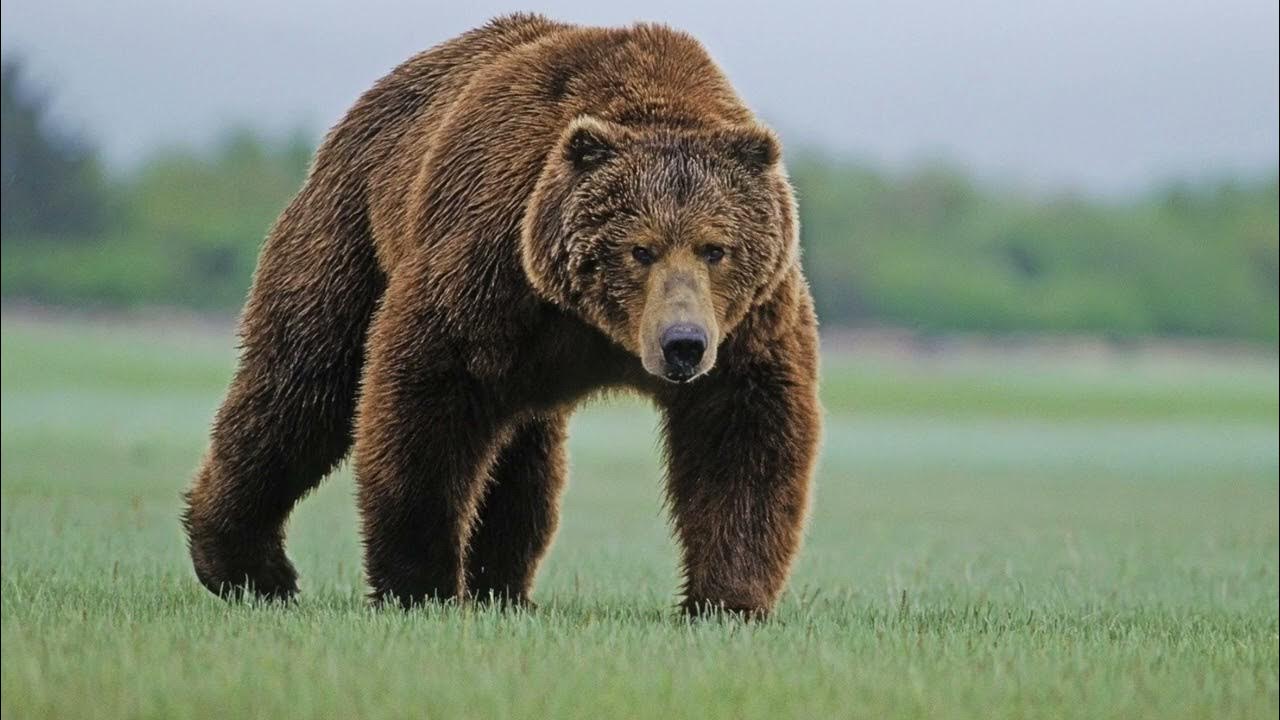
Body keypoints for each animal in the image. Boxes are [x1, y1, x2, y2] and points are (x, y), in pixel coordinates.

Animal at [183, 12, 819, 617]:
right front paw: (421, 585)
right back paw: (247, 566)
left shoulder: (748, 323)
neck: (595, 326)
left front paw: (726, 599)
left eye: (715, 248)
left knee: (523, 459)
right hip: (350, 232)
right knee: (302, 384)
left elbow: (742, 435)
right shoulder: (489, 264)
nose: (682, 343)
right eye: (640, 249)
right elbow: (425, 403)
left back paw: (503, 587)